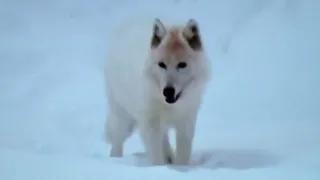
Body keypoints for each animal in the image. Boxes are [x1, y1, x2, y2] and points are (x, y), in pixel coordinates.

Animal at [104, 14, 211, 165]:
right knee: (116, 143)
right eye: (162, 64)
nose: (168, 91)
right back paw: (115, 160)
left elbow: (183, 152)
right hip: (123, 117)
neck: (170, 106)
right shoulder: (150, 124)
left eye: (182, 65)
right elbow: (156, 156)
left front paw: (179, 167)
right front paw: (161, 168)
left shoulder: (186, 121)